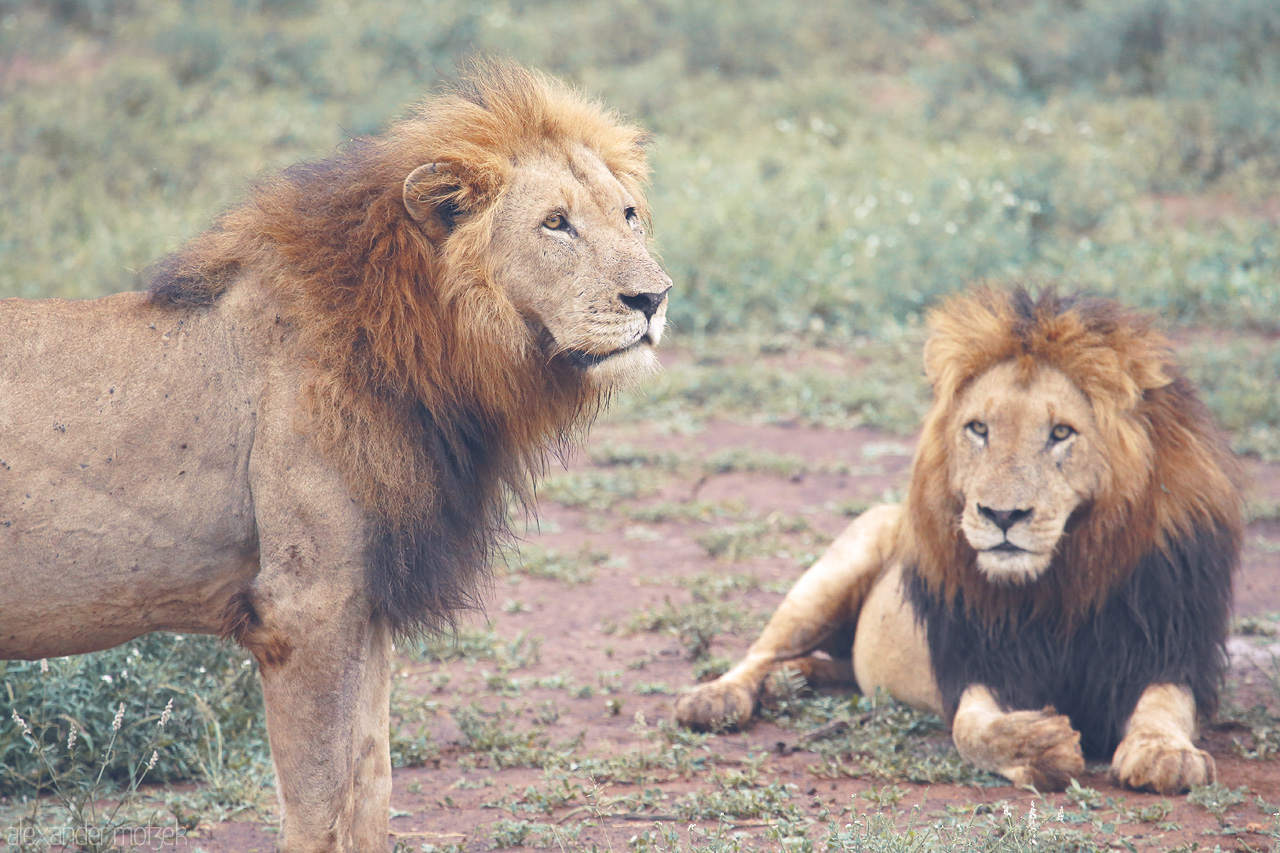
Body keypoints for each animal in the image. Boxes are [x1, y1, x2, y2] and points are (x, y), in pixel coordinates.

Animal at [0, 64, 675, 850]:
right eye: (555, 223)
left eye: (628, 215)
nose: (654, 297)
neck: (428, 343)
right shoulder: (303, 609)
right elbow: (321, 806)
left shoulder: (365, 600)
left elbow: (370, 786)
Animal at [675, 285, 1244, 788]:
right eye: (978, 429)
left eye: (1061, 433)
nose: (1002, 514)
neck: (1061, 586)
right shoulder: (981, 662)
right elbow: (971, 730)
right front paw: (1039, 744)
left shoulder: (1169, 645)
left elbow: (1163, 708)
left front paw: (1165, 755)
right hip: (838, 567)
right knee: (762, 651)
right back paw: (717, 698)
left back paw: (792, 681)